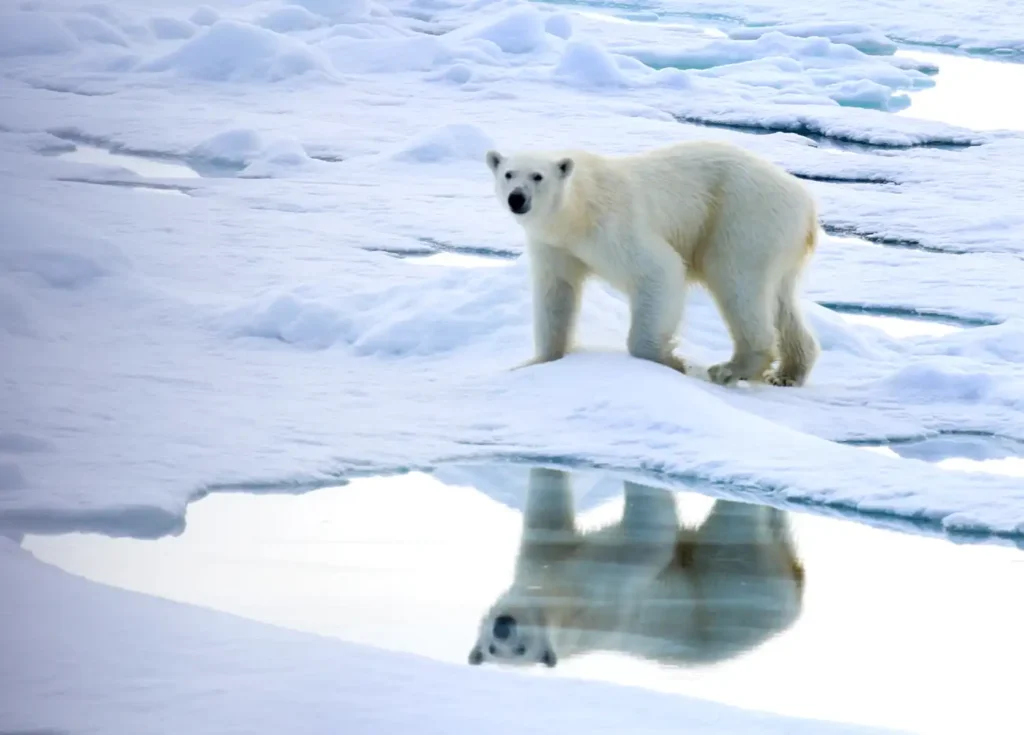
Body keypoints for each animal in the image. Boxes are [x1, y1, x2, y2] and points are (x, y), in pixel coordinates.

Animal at [466, 468, 806, 671]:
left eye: (519, 647)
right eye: (496, 649)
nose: (503, 628)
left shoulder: (541, 563)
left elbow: (548, 511)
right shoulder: (603, 595)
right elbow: (651, 535)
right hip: (733, 582)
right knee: (735, 525)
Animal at [487, 140, 823, 388]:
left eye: (537, 176)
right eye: (508, 174)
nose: (517, 199)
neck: (577, 212)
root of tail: (807, 203)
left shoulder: (612, 225)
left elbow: (659, 270)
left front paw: (670, 360)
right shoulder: (556, 246)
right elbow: (556, 293)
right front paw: (538, 361)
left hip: (744, 218)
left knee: (738, 282)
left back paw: (731, 368)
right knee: (781, 300)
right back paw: (788, 373)